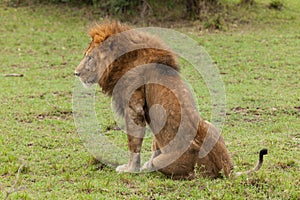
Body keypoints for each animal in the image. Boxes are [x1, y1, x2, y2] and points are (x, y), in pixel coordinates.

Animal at [75, 21, 268, 178]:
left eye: (90, 57)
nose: (75, 73)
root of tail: (227, 168)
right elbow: (155, 142)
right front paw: (141, 166)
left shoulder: (134, 108)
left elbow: (134, 144)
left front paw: (130, 169)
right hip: (210, 126)